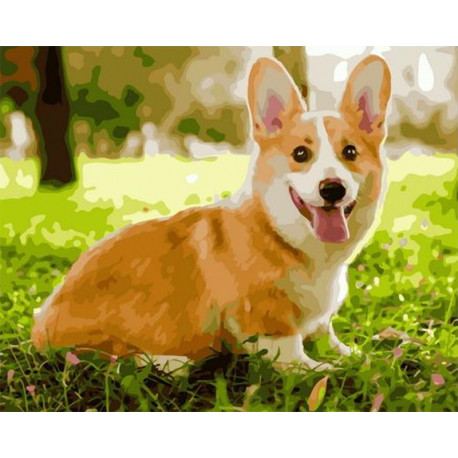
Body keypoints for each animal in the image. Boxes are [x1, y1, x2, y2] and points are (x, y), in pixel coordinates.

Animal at [32, 55, 391, 371]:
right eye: (300, 154)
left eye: (350, 152)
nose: (333, 189)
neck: (283, 234)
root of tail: (38, 323)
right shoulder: (267, 322)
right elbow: (297, 358)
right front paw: (330, 370)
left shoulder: (318, 321)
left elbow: (329, 337)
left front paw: (360, 355)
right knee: (107, 354)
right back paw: (168, 361)